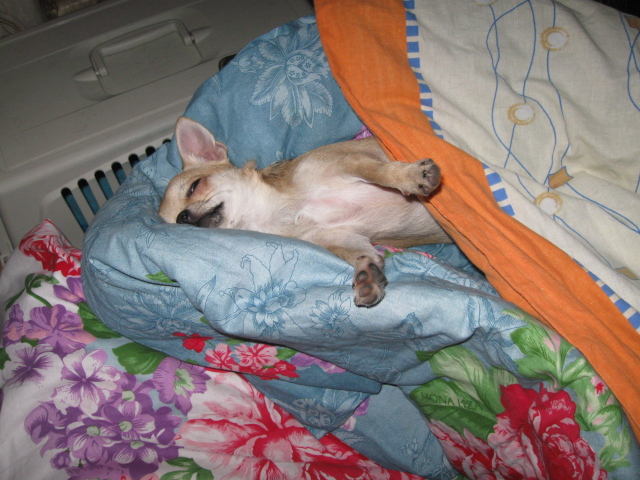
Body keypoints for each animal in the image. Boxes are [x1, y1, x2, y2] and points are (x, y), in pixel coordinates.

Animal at [159, 117, 451, 307]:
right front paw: (367, 277)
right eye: (177, 225)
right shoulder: (340, 237)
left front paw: (410, 176)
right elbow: (361, 254)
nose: (182, 217)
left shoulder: (352, 163)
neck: (284, 210)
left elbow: (381, 172)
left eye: (195, 186)